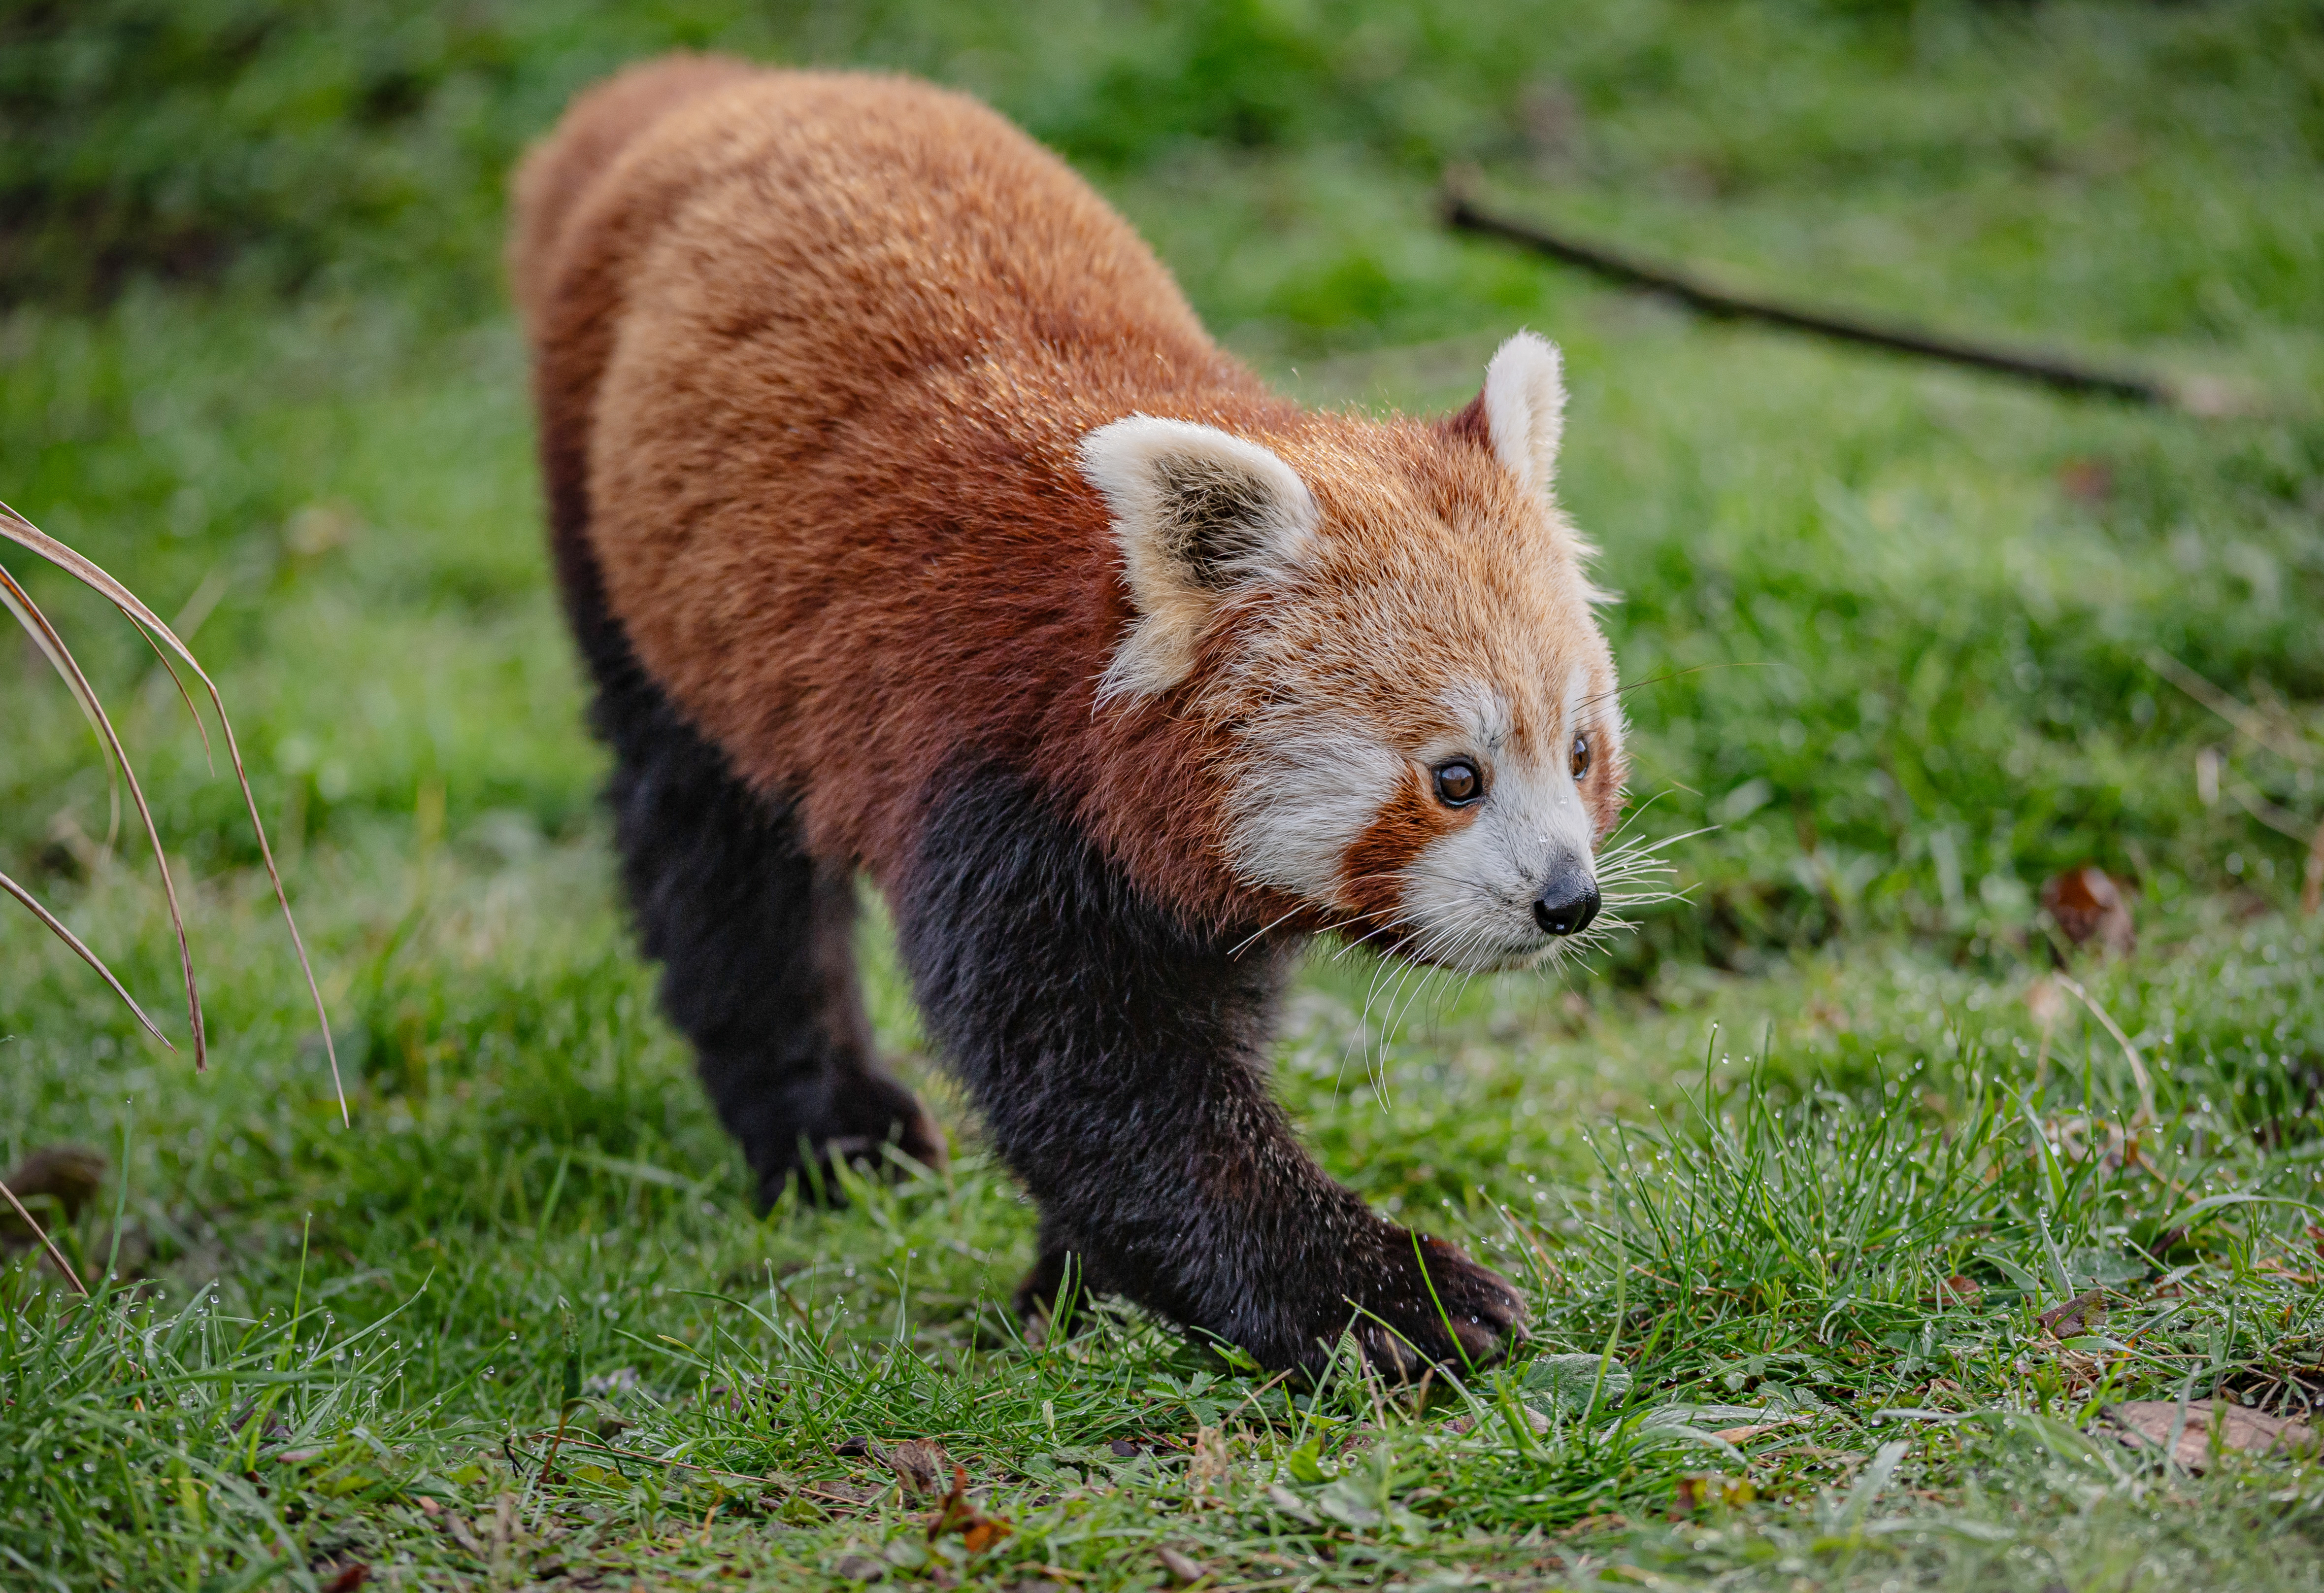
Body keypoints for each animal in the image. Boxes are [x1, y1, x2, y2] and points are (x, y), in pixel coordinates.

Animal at [511, 56, 1629, 1374]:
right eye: (1454, 776)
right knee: (714, 860)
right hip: (633, 564)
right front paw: (1382, 1294)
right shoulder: (994, 775)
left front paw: (1082, 1285)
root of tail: (717, 83)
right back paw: (828, 1129)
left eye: (1579, 751)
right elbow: (1099, 1081)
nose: (1567, 899)